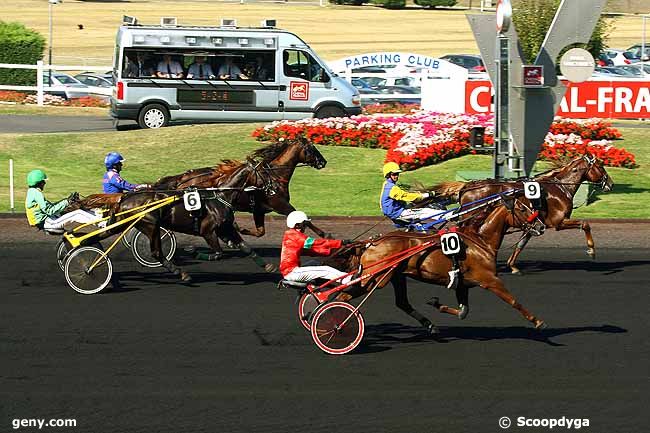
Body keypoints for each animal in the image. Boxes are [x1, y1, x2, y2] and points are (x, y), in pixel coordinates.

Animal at [330, 193, 548, 334]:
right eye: (522, 208)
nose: (541, 227)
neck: (480, 240)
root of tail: (372, 242)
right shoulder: (489, 279)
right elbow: (514, 301)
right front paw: (538, 321)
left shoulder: (462, 284)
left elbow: (463, 312)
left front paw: (435, 303)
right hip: (375, 278)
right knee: (344, 294)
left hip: (394, 277)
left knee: (400, 302)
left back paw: (430, 325)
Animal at [428, 154, 612, 272]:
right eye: (601, 166)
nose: (610, 183)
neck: (559, 188)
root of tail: (466, 186)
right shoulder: (558, 222)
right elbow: (585, 224)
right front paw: (591, 250)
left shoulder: (534, 223)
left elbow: (521, 244)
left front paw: (512, 266)